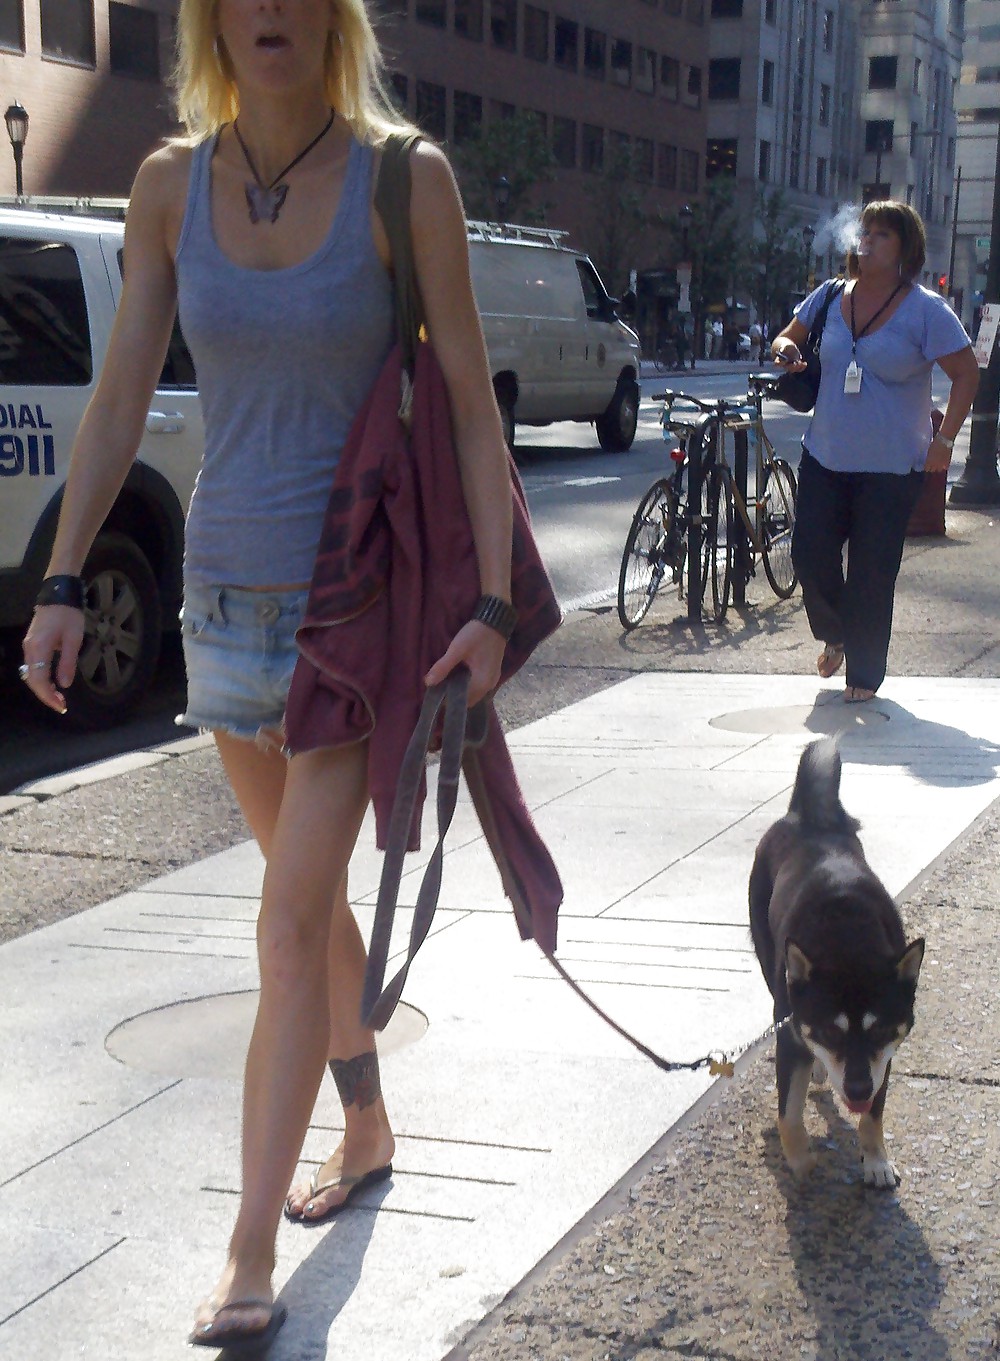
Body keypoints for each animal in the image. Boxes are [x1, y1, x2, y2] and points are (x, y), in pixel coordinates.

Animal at [751, 740, 925, 1186]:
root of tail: (806, 816)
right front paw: (799, 1158)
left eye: (879, 1029)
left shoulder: (883, 1056)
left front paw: (876, 1159)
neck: (848, 942)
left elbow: (874, 1116)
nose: (858, 1090)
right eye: (831, 1031)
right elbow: (788, 1111)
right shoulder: (790, 1032)